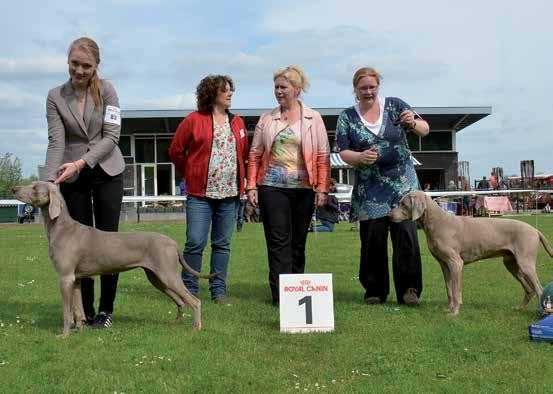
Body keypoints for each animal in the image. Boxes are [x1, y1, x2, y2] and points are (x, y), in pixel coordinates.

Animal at [13, 182, 211, 338]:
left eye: (35, 187)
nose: (14, 188)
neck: (62, 229)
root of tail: (172, 242)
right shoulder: (75, 279)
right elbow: (78, 310)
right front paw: (79, 330)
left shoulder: (64, 278)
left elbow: (66, 312)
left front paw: (64, 336)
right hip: (156, 278)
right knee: (180, 301)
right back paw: (176, 323)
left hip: (168, 275)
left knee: (194, 301)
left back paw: (197, 327)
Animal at [388, 189, 552, 316]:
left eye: (403, 204)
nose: (389, 215)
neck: (436, 222)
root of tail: (535, 230)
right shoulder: (444, 264)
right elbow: (449, 289)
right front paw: (448, 309)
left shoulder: (456, 263)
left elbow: (456, 290)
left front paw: (454, 312)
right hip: (511, 263)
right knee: (529, 289)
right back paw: (519, 308)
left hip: (525, 262)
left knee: (539, 288)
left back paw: (542, 312)